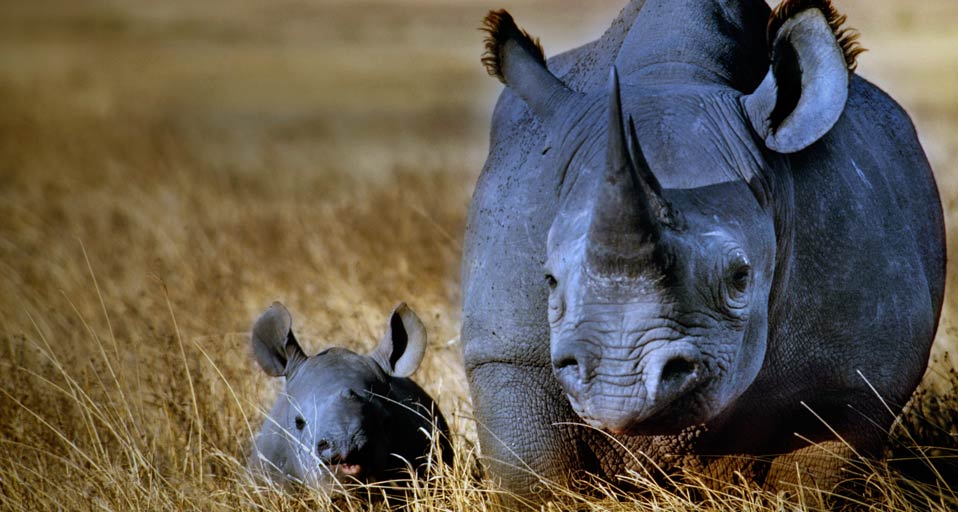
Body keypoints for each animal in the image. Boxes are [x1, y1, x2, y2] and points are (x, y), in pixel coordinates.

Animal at [462, 0, 945, 503]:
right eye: (550, 280)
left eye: (740, 278)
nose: (621, 383)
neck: (672, 73)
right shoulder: (509, 353)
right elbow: (536, 475)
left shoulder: (857, 375)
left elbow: (814, 482)